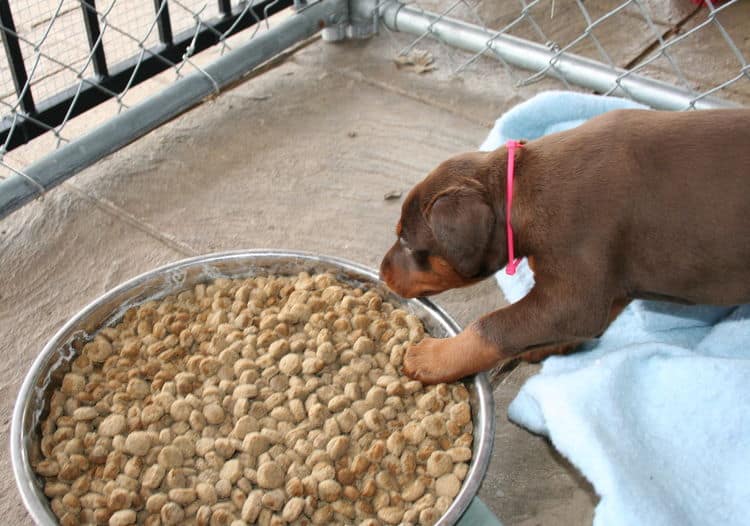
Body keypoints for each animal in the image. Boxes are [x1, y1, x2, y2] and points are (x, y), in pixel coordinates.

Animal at [382, 109, 750, 386]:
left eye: (406, 240)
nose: (383, 272)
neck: (521, 190)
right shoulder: (609, 286)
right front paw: (545, 346)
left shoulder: (575, 294)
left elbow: (494, 324)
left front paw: (432, 357)